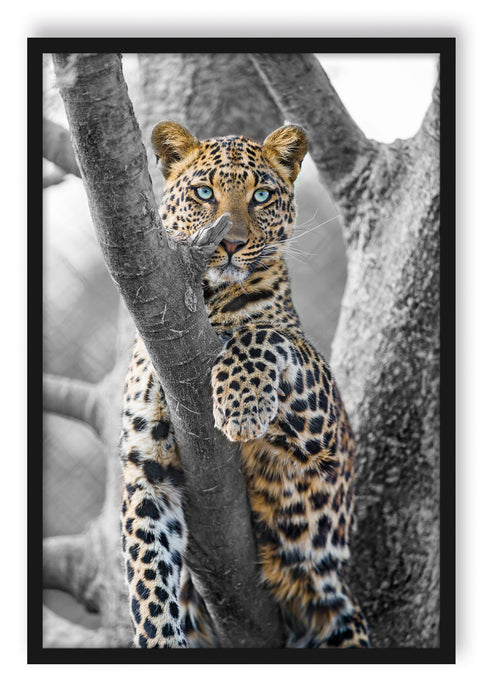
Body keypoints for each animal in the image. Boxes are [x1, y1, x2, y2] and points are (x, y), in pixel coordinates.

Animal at [120, 120, 370, 649]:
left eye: (260, 195)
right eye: (203, 192)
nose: (231, 243)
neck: (205, 304)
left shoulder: (326, 434)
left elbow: (263, 333)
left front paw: (241, 407)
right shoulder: (145, 469)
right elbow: (148, 578)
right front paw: (160, 638)